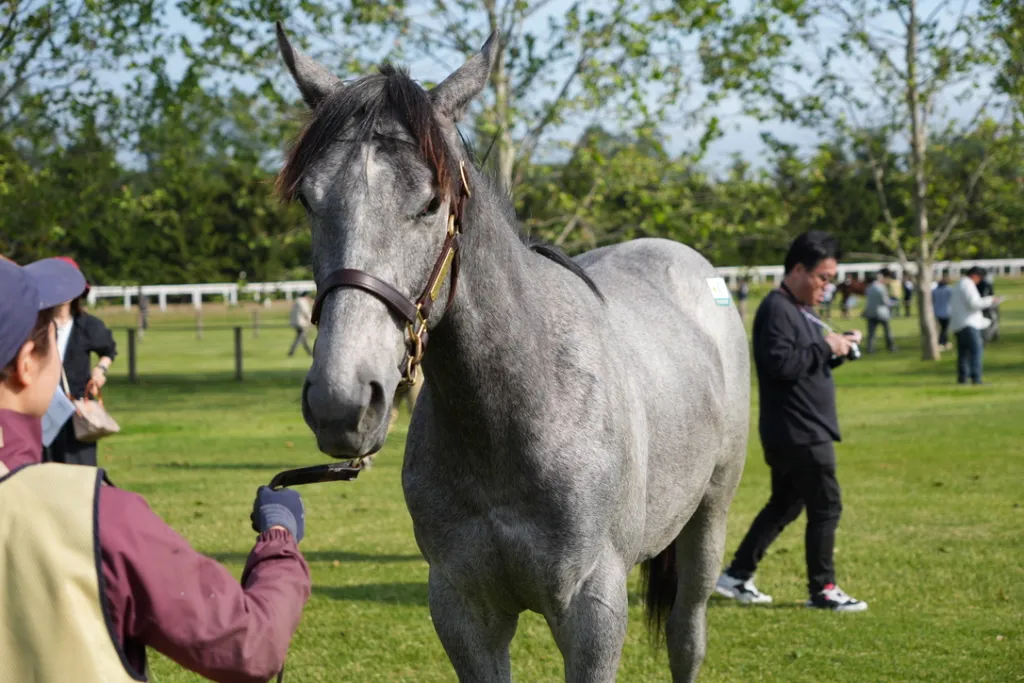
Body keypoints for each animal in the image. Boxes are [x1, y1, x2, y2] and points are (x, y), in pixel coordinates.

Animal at [274, 24, 750, 683]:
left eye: (431, 202)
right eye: (309, 201)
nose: (341, 401)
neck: (518, 412)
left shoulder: (593, 614)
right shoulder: (463, 610)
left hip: (710, 516)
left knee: (687, 634)